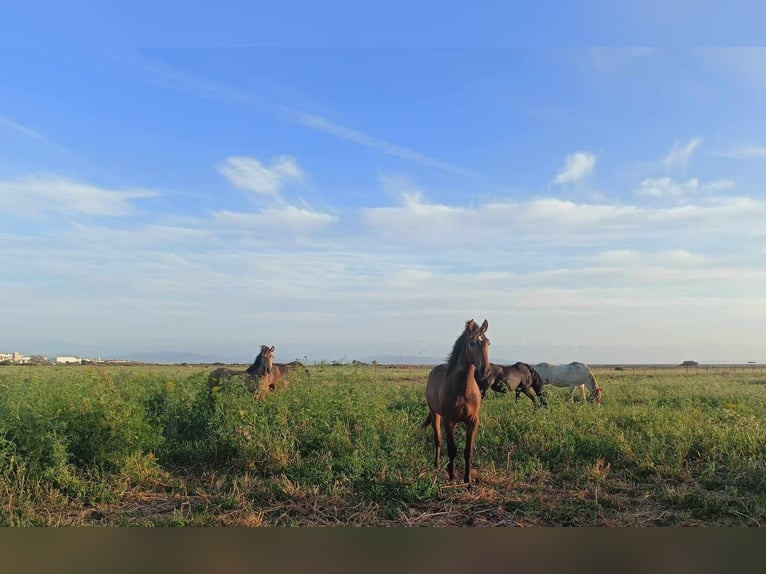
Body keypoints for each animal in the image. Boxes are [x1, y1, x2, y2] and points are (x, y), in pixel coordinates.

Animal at [426, 320, 492, 486]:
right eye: (472, 343)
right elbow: (452, 450)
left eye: (488, 342)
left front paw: (467, 480)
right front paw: (452, 476)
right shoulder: (449, 421)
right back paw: (437, 465)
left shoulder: (473, 421)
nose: (486, 371)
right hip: (435, 414)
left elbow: (468, 451)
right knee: (438, 439)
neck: (463, 392)